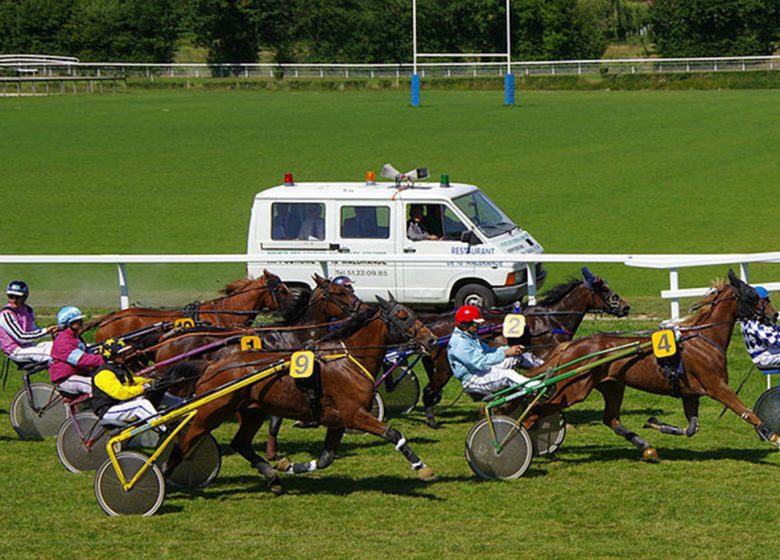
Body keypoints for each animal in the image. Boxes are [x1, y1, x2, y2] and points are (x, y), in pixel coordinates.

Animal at [165, 294, 438, 494]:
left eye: (413, 313)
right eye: (402, 316)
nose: (431, 340)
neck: (348, 359)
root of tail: (212, 365)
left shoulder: (337, 421)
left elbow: (326, 459)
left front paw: (288, 465)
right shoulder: (354, 414)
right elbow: (393, 433)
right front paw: (421, 467)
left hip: (253, 412)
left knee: (240, 443)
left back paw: (272, 478)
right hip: (210, 412)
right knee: (184, 442)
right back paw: (165, 479)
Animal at [418, 266, 632, 428]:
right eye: (603, 289)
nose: (625, 307)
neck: (551, 320)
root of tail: (433, 325)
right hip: (444, 369)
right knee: (428, 391)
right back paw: (432, 421)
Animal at [524, 270, 780, 462]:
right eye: (752, 295)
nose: (774, 314)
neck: (704, 339)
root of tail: (571, 345)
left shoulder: (691, 394)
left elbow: (691, 428)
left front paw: (655, 423)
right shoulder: (716, 386)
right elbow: (748, 413)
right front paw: (773, 437)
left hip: (612, 386)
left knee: (611, 419)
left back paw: (647, 447)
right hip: (574, 389)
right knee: (536, 411)